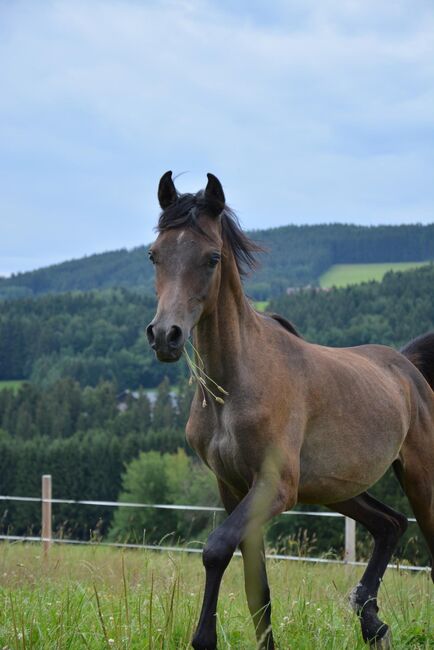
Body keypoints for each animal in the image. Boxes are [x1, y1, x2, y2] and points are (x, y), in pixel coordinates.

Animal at [147, 172, 434, 648]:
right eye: (154, 254)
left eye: (211, 258)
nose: (165, 336)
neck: (236, 386)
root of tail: (408, 367)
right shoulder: (234, 488)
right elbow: (257, 589)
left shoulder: (276, 487)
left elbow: (216, 550)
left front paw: (203, 638)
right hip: (335, 489)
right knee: (390, 523)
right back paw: (371, 621)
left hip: (419, 477)